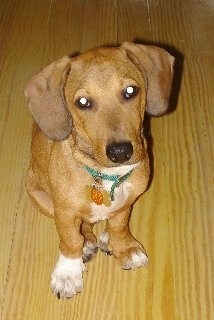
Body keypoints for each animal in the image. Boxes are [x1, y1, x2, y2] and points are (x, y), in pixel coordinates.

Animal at [24, 41, 174, 298]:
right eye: (83, 103)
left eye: (131, 91)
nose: (120, 152)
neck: (106, 177)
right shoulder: (64, 212)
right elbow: (70, 240)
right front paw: (68, 273)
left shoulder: (128, 200)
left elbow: (119, 225)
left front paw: (123, 246)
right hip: (37, 193)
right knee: (82, 228)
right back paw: (88, 243)